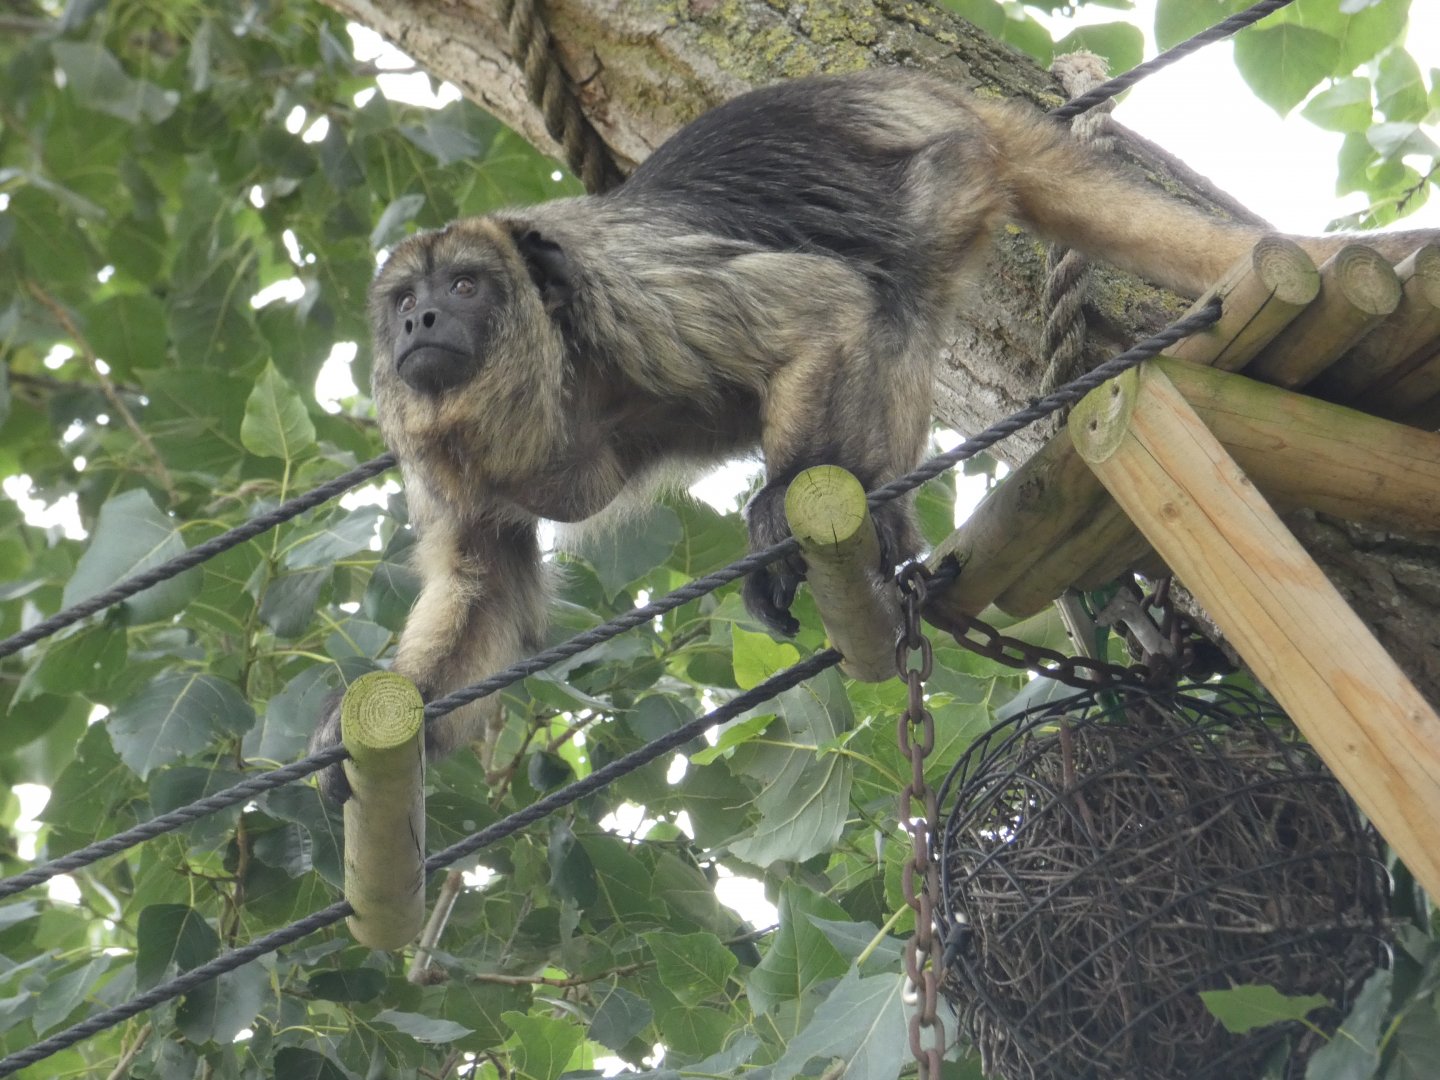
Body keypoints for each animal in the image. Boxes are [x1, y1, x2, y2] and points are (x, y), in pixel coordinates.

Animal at [309, 68, 1430, 802]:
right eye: (403, 299)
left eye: (466, 286)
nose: (419, 323)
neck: (534, 376)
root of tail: (938, 95)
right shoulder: (437, 462)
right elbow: (483, 584)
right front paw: (367, 745)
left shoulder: (616, 290)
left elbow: (818, 309)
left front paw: (774, 509)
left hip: (941, 173)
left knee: (887, 290)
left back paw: (868, 526)